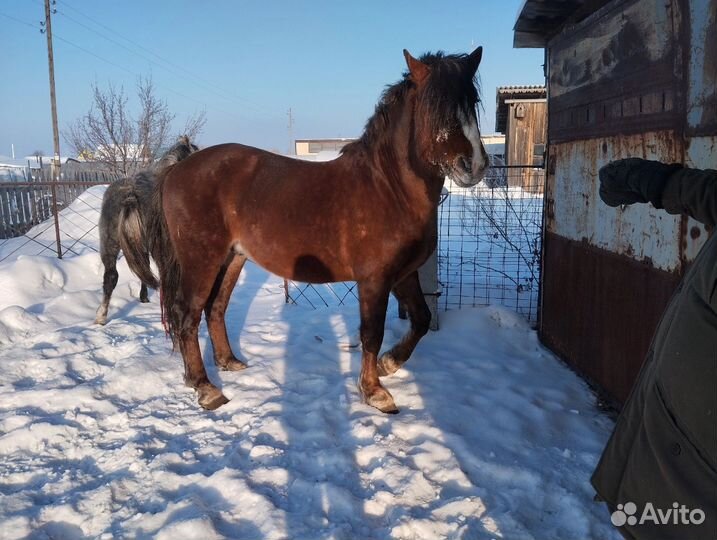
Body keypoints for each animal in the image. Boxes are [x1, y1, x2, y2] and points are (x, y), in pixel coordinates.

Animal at [123, 48, 488, 413]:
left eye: (471, 102)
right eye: (434, 107)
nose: (476, 165)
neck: (388, 187)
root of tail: (176, 169)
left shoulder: (404, 274)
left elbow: (422, 319)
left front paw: (389, 363)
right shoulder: (374, 280)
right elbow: (371, 333)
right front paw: (374, 391)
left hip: (232, 259)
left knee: (216, 308)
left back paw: (229, 362)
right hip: (201, 261)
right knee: (188, 315)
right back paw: (206, 388)